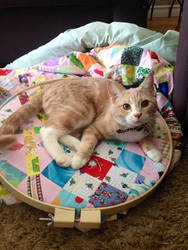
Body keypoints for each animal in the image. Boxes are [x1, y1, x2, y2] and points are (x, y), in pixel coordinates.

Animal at [0, 73, 162, 170]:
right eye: (126, 106)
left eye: (145, 103)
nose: (138, 114)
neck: (130, 130)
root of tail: (48, 87)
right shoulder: (94, 126)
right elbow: (88, 142)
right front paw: (79, 159)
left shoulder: (149, 125)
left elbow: (147, 137)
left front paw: (153, 151)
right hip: (82, 111)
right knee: (47, 130)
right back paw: (63, 156)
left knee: (59, 131)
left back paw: (76, 143)